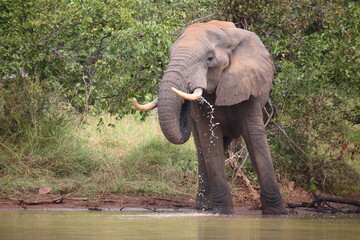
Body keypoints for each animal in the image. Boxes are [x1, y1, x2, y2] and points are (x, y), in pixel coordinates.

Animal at [132, 21, 286, 216]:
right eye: (169, 55)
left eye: (210, 58)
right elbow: (209, 141)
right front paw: (223, 213)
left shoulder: (249, 85)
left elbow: (255, 137)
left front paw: (277, 213)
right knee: (202, 149)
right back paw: (203, 208)